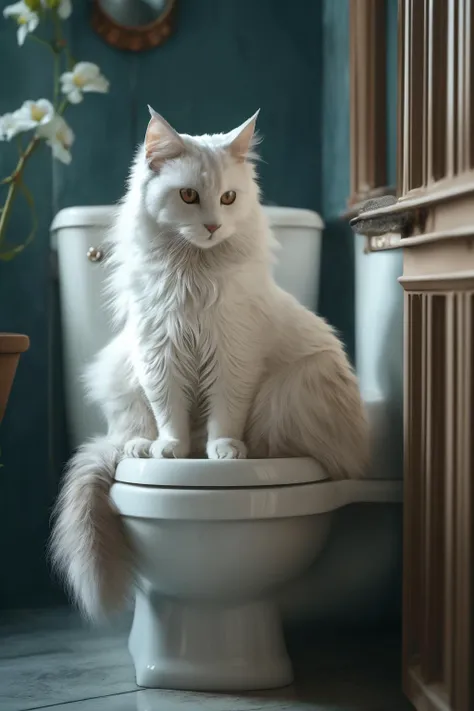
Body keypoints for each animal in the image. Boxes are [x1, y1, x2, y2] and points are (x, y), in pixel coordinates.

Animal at [50, 107, 368, 624]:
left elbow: (225, 412)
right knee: (128, 433)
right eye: (188, 196)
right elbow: (170, 413)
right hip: (122, 376)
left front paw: (222, 451)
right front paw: (172, 449)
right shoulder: (159, 351)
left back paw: (238, 453)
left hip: (294, 387)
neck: (193, 276)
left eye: (228, 198)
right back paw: (145, 448)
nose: (215, 226)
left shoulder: (232, 351)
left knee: (271, 441)